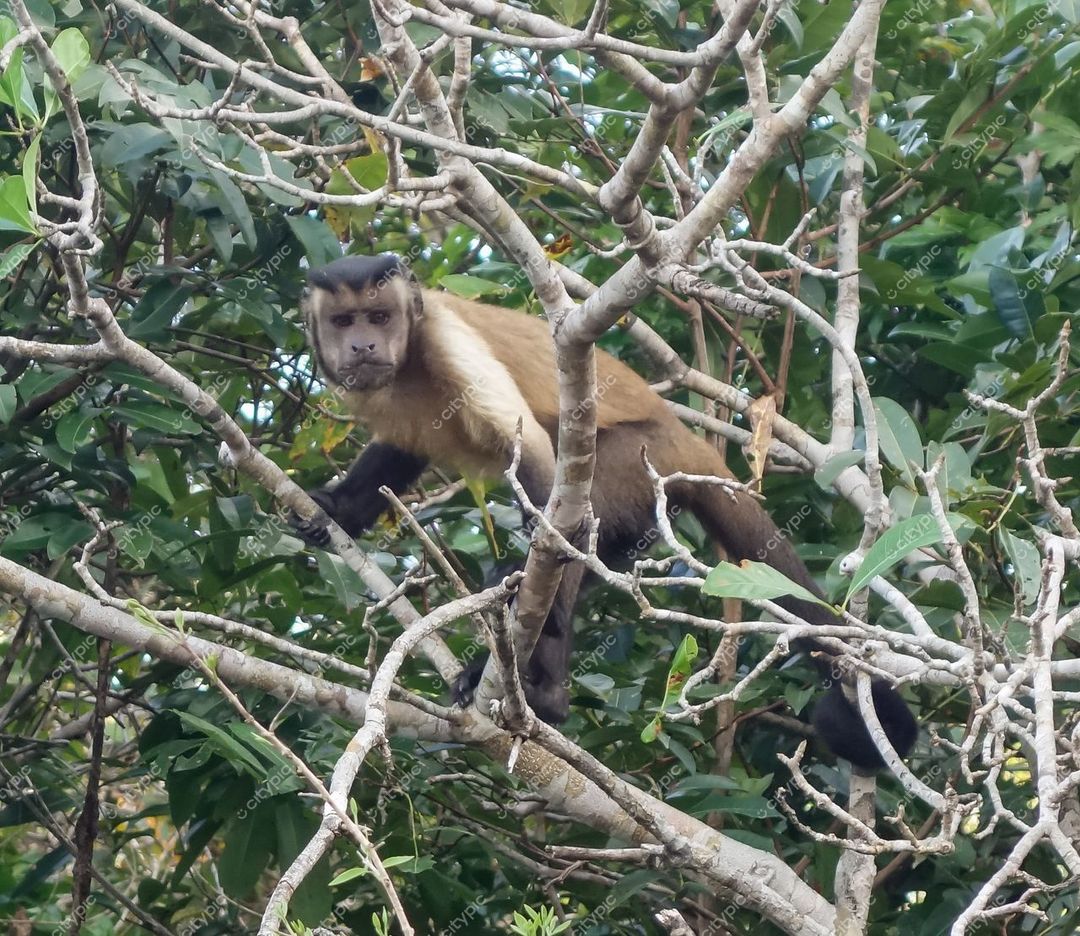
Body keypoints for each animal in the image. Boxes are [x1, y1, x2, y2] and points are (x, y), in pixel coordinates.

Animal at [293, 253, 918, 770]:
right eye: (345, 323)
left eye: (379, 316)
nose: (364, 346)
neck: (409, 359)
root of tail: (687, 441)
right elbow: (399, 453)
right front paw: (335, 509)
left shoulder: (447, 340)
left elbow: (536, 455)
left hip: (639, 463)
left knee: (574, 506)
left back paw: (544, 688)